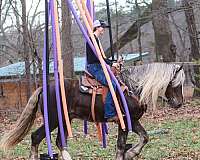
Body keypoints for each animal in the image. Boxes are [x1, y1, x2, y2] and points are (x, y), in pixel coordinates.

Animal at [0, 62, 185, 160]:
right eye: (175, 82)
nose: (179, 103)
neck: (131, 88)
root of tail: (44, 88)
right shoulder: (126, 121)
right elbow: (122, 145)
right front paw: (129, 153)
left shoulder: (132, 121)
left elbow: (142, 138)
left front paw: (131, 153)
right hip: (52, 120)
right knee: (36, 137)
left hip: (65, 121)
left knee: (59, 142)